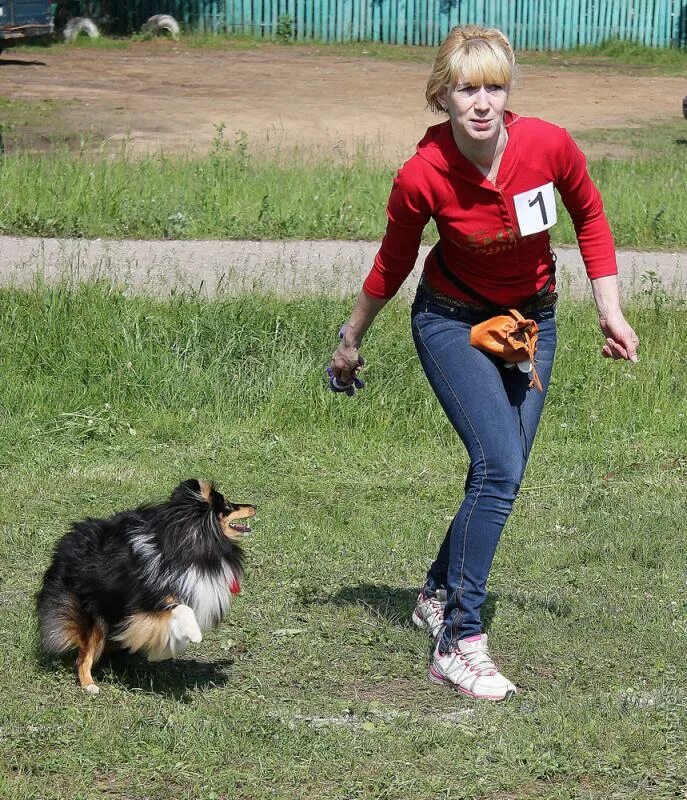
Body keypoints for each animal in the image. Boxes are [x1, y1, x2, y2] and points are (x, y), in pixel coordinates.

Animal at [36, 482, 255, 692]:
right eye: (228, 505)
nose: (254, 506)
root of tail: (66, 542)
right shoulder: (140, 603)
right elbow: (181, 610)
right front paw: (192, 635)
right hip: (94, 613)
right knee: (83, 656)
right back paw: (89, 685)